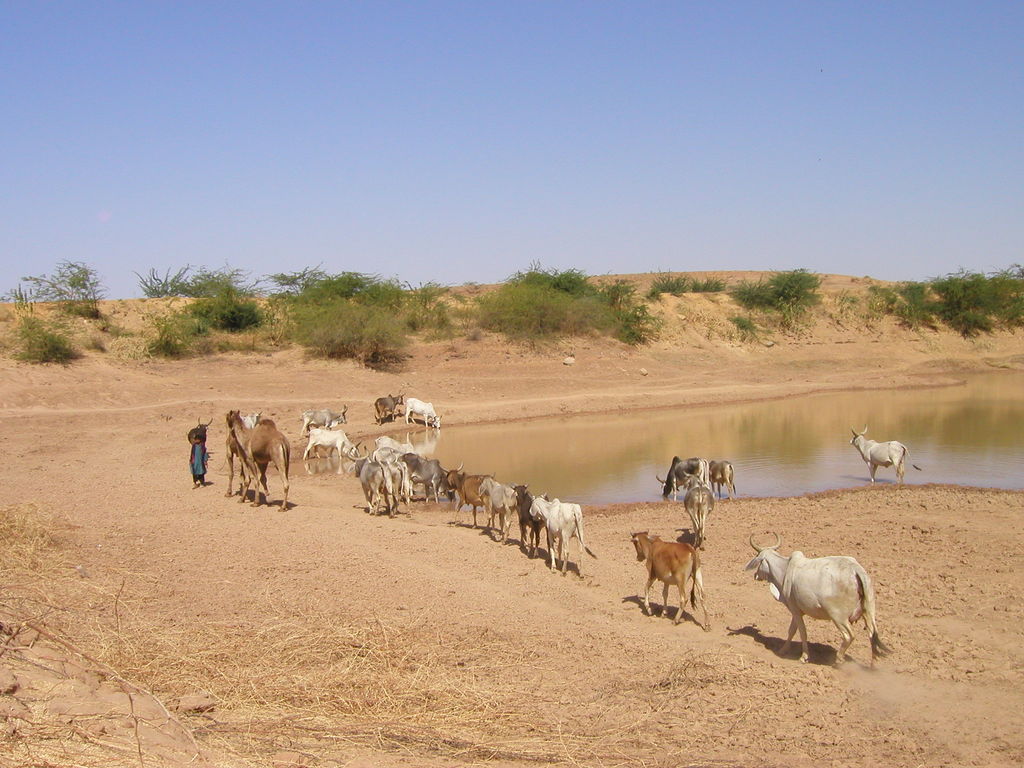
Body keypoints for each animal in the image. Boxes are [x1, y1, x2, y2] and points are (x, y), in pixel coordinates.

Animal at [741, 536, 892, 667]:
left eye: (758, 559)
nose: (756, 575)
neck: (784, 570)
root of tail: (855, 570)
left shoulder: (795, 610)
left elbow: (801, 632)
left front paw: (803, 657)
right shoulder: (797, 611)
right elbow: (792, 631)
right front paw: (783, 650)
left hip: (838, 616)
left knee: (849, 636)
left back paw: (838, 660)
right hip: (869, 612)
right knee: (872, 635)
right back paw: (873, 665)